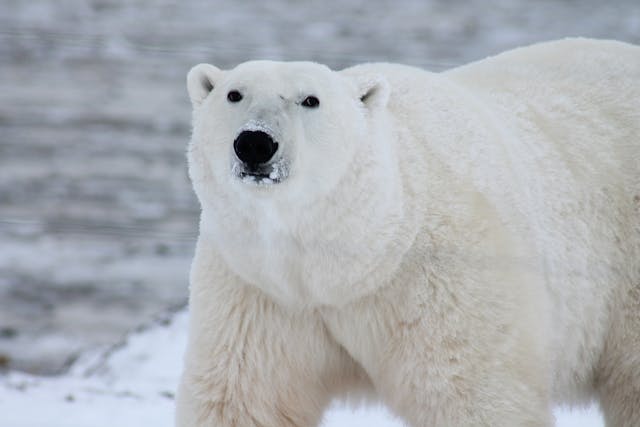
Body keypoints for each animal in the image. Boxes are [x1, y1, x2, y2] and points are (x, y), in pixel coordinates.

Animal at [176, 38, 640, 426]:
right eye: (234, 94)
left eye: (310, 99)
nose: (255, 143)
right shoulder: (260, 291)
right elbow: (246, 398)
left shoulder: (442, 280)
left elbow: (473, 395)